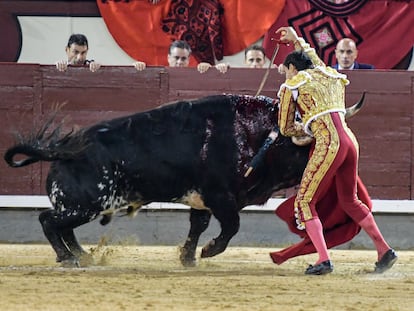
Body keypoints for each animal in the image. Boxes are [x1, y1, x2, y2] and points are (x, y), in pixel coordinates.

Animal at [4, 94, 362, 266]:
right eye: (312, 144)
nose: (347, 164)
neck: (258, 135)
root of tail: (62, 150)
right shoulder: (220, 196)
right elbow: (231, 227)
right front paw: (207, 252)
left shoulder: (202, 200)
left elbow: (197, 226)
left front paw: (187, 257)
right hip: (86, 204)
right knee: (49, 221)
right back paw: (69, 259)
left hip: (87, 206)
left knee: (63, 228)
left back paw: (83, 256)